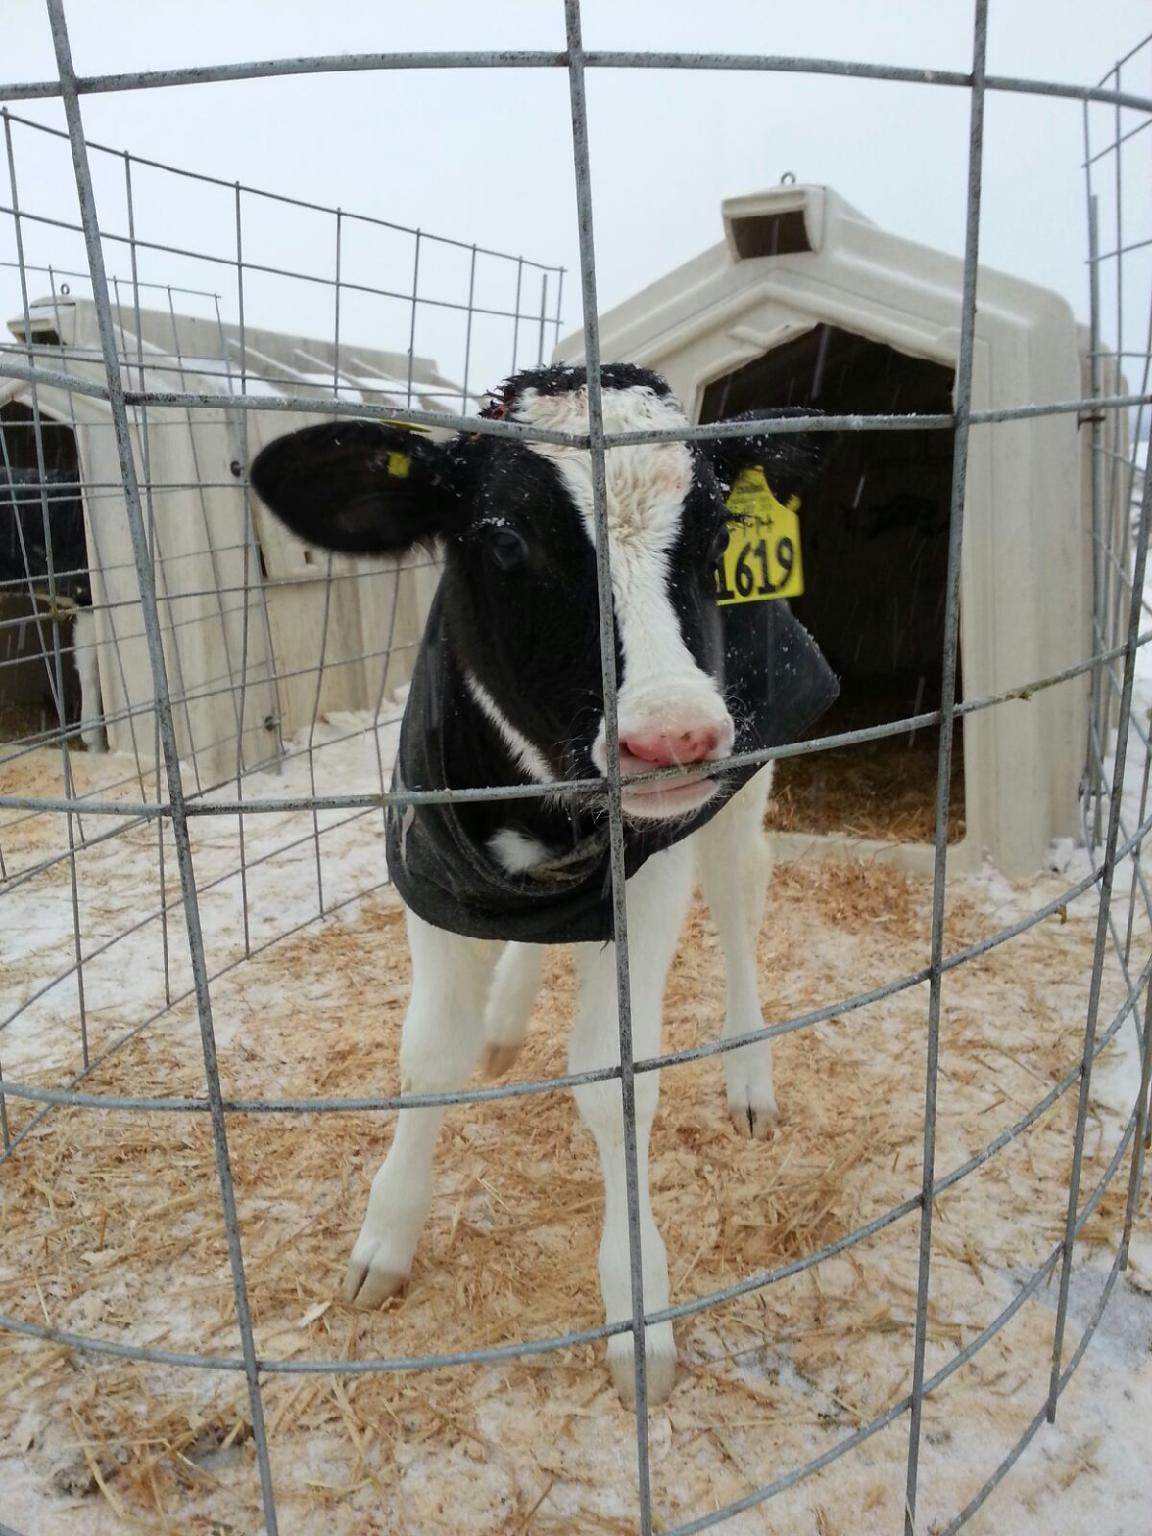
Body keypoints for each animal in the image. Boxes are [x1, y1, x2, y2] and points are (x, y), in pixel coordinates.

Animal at [250, 364, 835, 1403]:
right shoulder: (430, 867)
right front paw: (385, 1237)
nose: (674, 737)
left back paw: (749, 1077)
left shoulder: (656, 868)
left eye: (716, 537)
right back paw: (506, 1019)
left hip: (745, 789)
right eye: (508, 541)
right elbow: (425, 1058)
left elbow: (615, 1081)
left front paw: (638, 1309)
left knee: (740, 909)